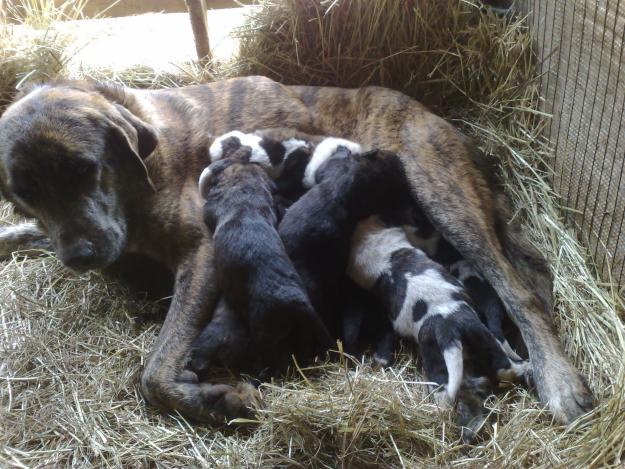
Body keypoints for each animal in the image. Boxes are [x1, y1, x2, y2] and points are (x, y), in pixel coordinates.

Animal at [0, 75, 588, 422]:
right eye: (22, 191)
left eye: (83, 169)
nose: (80, 257)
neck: (141, 166)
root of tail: (442, 120)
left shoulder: (203, 252)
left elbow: (154, 371)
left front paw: (218, 399)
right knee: (529, 269)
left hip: (440, 189)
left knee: (517, 288)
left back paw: (559, 380)